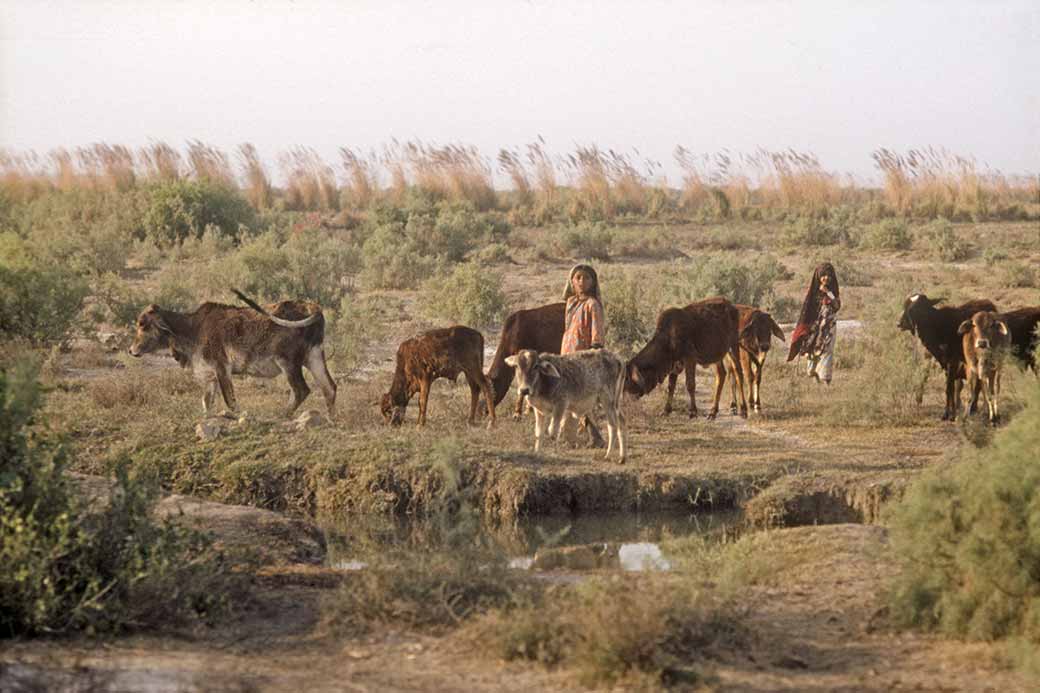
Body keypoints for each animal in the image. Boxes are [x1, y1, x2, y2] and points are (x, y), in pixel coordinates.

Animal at [128, 292, 336, 419]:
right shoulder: (210, 375)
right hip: (314, 357)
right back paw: (330, 420)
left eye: (142, 324)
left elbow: (230, 401)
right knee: (329, 387)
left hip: (289, 362)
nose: (131, 350)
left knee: (301, 390)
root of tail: (312, 308)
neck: (193, 329)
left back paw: (282, 415)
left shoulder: (222, 367)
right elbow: (206, 402)